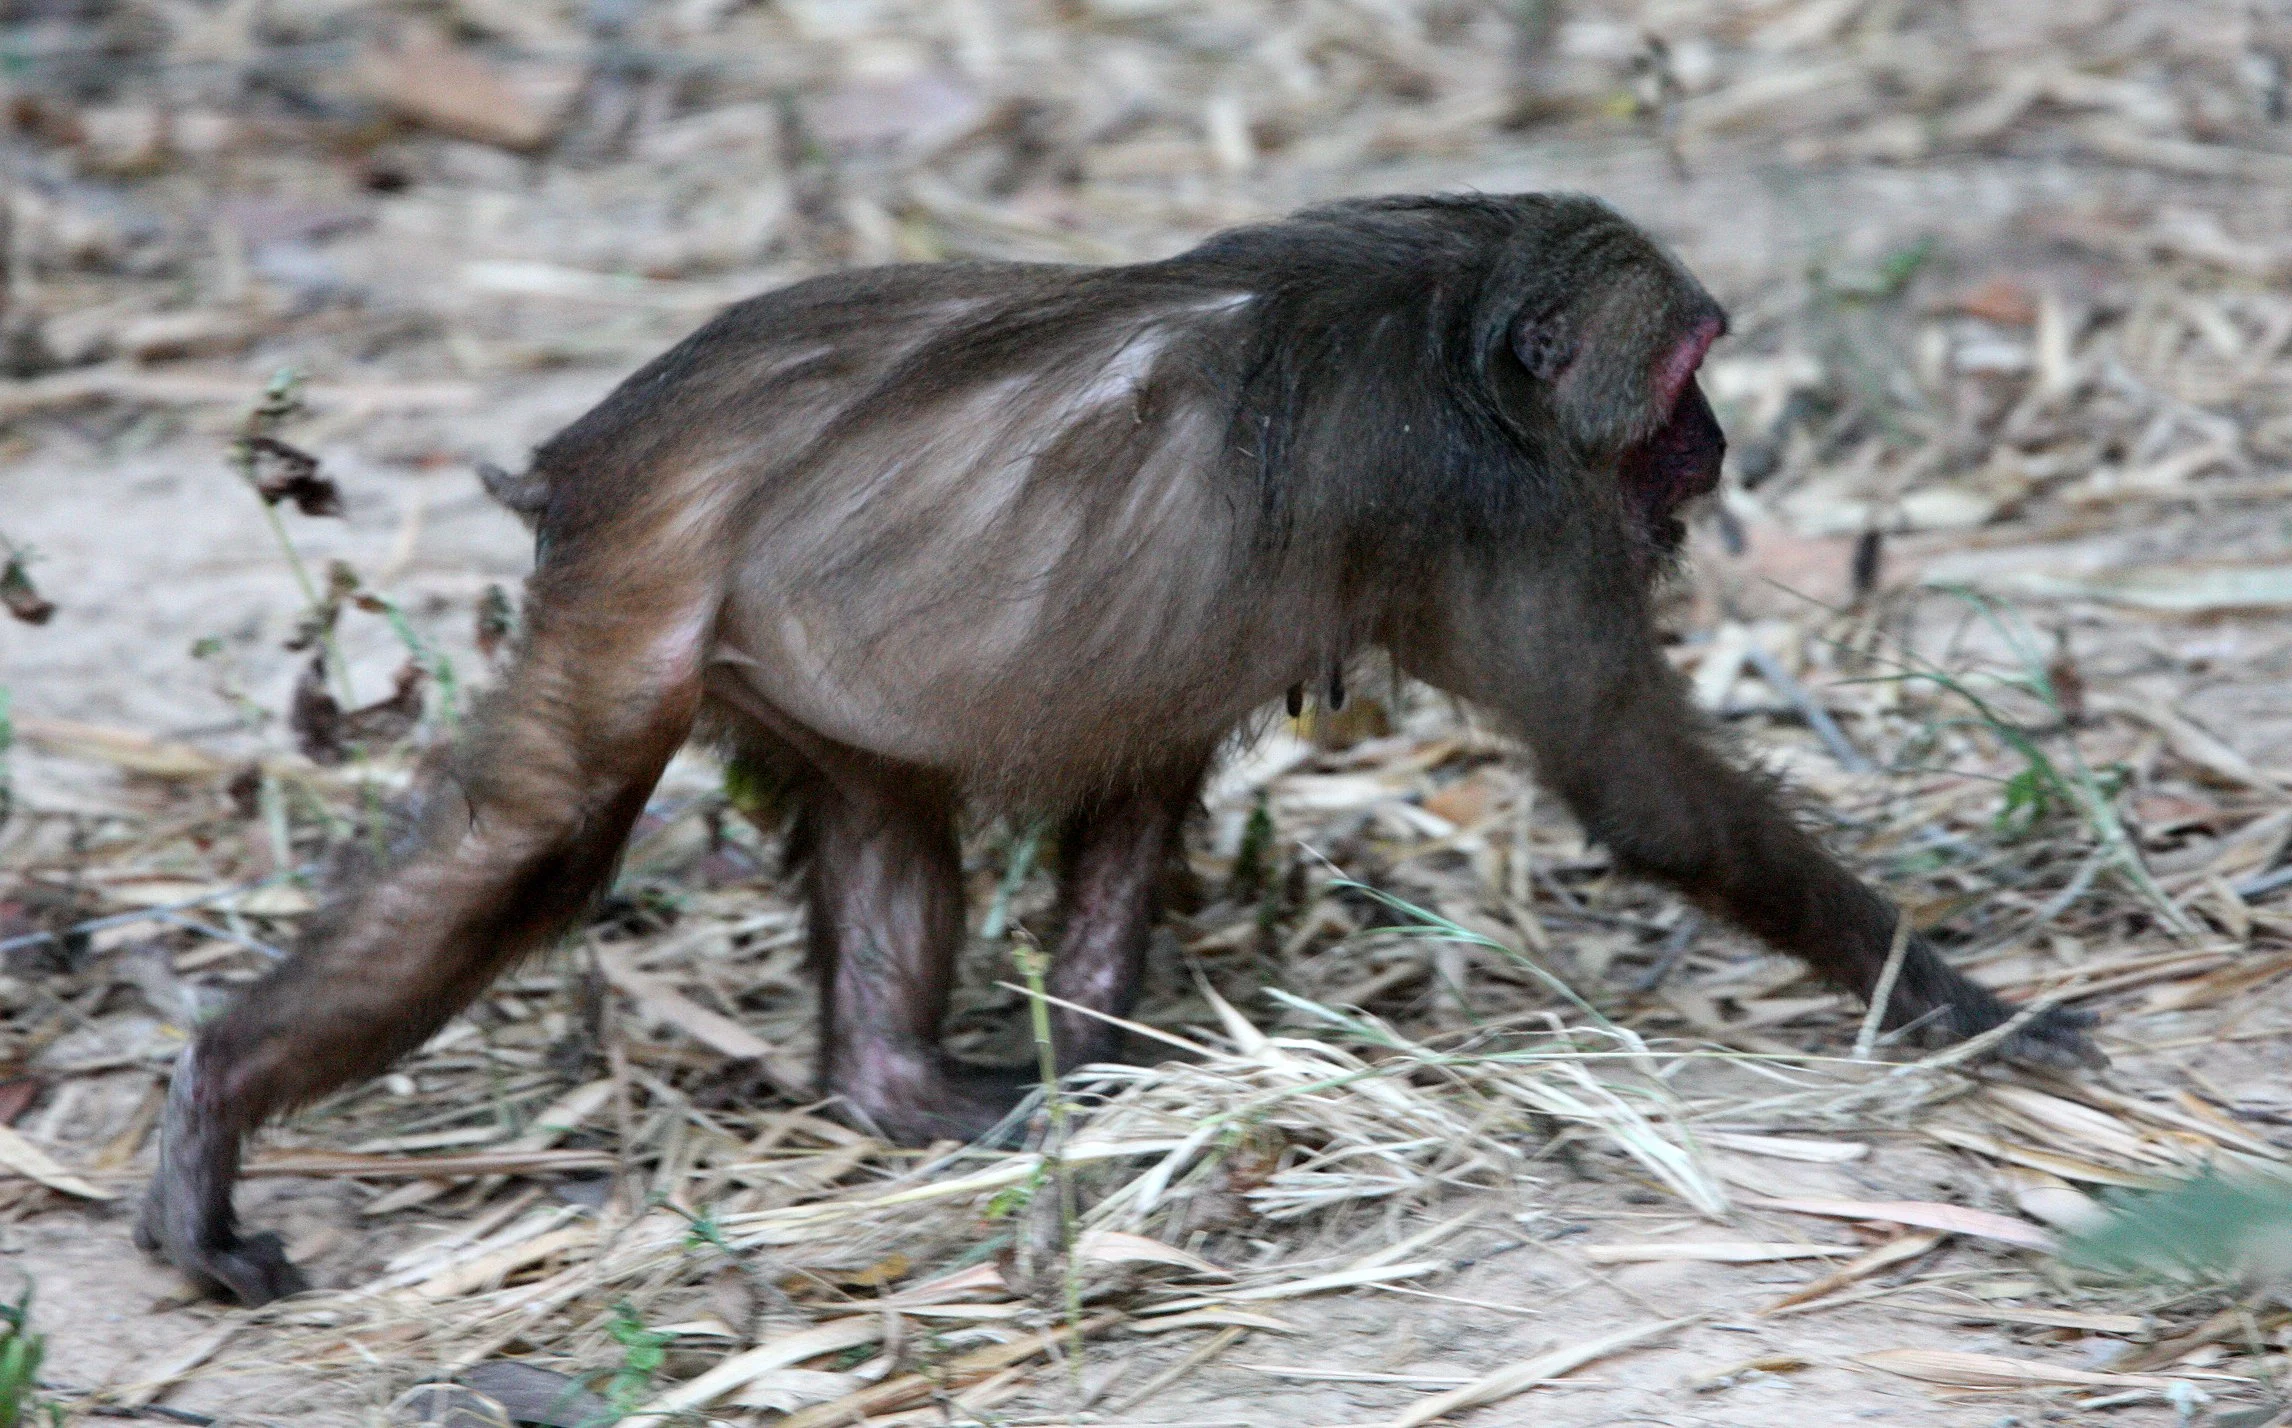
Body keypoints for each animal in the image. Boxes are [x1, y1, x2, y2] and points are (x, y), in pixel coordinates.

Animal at [138, 193, 2099, 1305]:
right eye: (1686, 379)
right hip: (637, 599)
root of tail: (601, 450)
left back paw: (897, 1087)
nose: (1716, 445)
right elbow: (1639, 787)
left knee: (883, 829)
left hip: (784, 667)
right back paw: (222, 1093)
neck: (1463, 336)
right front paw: (1953, 999)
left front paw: (1107, 1062)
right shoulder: (1503, 511)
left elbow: (1140, 776)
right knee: (539, 836)